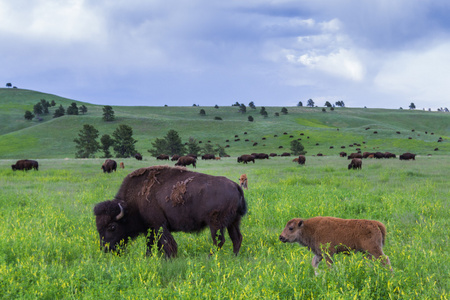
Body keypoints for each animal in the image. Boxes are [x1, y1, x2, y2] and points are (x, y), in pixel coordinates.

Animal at [93, 165, 248, 256]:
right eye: (98, 227)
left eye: (112, 227)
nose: (105, 249)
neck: (133, 203)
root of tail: (235, 186)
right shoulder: (150, 228)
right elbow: (151, 244)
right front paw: (150, 257)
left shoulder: (159, 225)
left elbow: (167, 244)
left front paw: (171, 258)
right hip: (234, 222)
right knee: (236, 238)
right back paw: (234, 256)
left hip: (216, 224)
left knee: (219, 241)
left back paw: (210, 257)